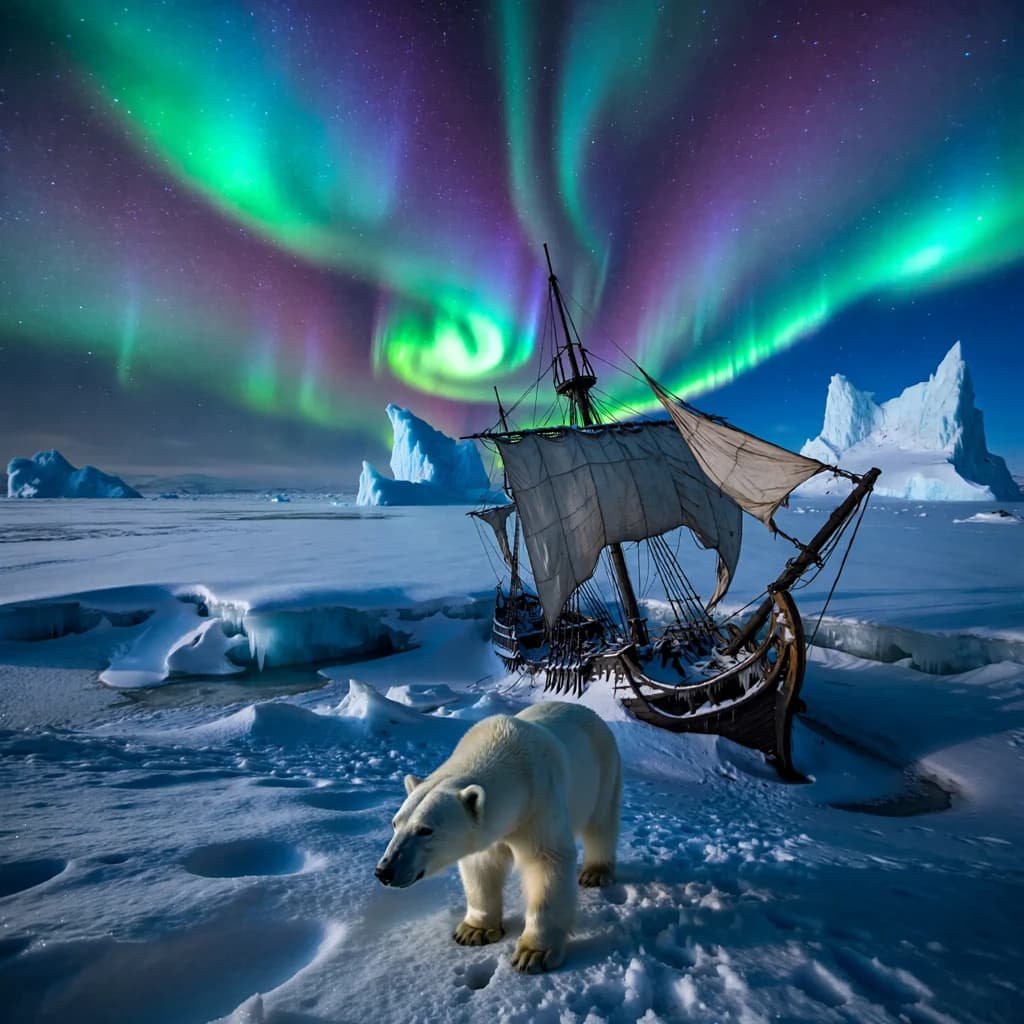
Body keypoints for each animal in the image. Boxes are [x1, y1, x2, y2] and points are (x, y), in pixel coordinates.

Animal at [374, 701, 622, 972]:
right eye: (395, 823)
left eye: (425, 830)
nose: (384, 871)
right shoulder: (492, 828)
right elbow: (481, 866)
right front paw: (473, 931)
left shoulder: (539, 804)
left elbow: (546, 861)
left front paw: (533, 953)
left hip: (603, 771)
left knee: (601, 823)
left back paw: (595, 872)